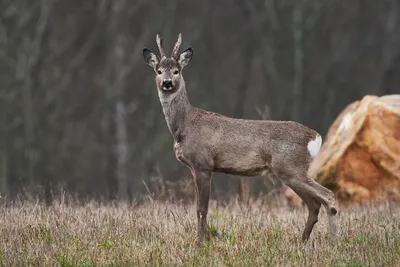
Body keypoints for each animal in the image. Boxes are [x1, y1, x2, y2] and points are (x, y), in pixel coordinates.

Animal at [144, 33, 338, 245]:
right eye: (159, 71)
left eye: (176, 71)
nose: (167, 82)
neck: (184, 125)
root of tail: (316, 137)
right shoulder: (195, 168)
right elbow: (198, 208)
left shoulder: (203, 163)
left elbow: (202, 208)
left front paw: (200, 242)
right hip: (290, 171)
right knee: (314, 205)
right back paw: (302, 241)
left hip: (291, 167)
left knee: (328, 196)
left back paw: (332, 242)